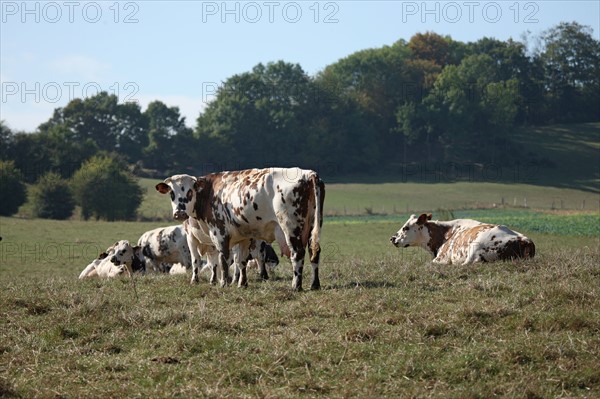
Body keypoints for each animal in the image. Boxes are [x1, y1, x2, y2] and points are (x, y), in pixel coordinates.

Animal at [155, 167, 324, 292]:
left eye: (190, 191)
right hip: (312, 226)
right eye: (172, 193)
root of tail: (309, 173)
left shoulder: (219, 233)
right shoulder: (244, 236)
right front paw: (242, 283)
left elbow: (221, 260)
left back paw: (296, 286)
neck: (209, 192)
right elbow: (241, 261)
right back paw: (314, 285)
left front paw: (223, 283)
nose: (179, 213)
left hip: (291, 227)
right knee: (314, 252)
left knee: (298, 253)